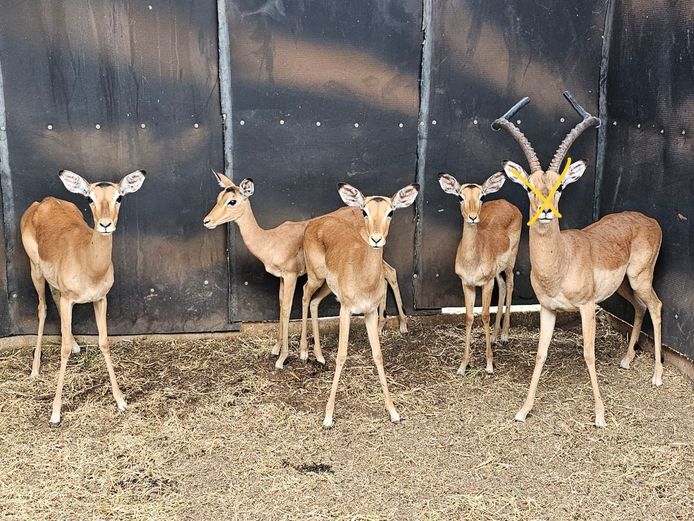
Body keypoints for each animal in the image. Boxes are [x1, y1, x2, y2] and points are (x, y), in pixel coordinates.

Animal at [20, 169, 146, 424]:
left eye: (119, 197)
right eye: (90, 198)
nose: (105, 225)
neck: (88, 262)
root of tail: (44, 202)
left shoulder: (100, 299)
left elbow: (104, 342)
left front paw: (121, 400)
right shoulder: (70, 300)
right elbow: (64, 349)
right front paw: (55, 412)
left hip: (54, 284)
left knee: (54, 300)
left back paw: (77, 345)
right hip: (35, 271)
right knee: (42, 308)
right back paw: (35, 369)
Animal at [203, 172, 409, 369]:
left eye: (232, 201)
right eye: (219, 197)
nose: (207, 221)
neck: (269, 240)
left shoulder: (291, 275)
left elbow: (287, 308)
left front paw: (284, 357)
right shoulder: (281, 278)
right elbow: (280, 304)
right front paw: (277, 347)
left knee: (389, 273)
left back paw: (402, 325)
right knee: (388, 274)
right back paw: (383, 325)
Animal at [301, 182, 419, 428]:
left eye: (391, 212)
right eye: (365, 211)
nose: (376, 239)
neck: (363, 277)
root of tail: (313, 223)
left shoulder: (369, 313)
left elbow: (378, 355)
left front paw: (393, 412)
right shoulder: (345, 310)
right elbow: (341, 355)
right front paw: (328, 416)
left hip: (326, 286)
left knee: (314, 302)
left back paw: (319, 355)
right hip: (316, 277)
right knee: (305, 295)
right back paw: (304, 352)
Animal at [438, 171, 522, 375]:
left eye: (482, 196)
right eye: (460, 196)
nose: (473, 217)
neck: (472, 260)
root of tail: (508, 204)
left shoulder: (486, 283)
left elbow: (484, 316)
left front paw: (490, 365)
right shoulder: (467, 284)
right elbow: (469, 318)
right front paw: (462, 365)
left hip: (510, 262)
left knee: (510, 285)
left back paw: (505, 335)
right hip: (496, 272)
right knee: (503, 287)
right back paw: (495, 336)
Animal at [493, 92, 662, 427]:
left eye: (560, 186)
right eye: (530, 187)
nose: (546, 211)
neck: (560, 264)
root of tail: (650, 220)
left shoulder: (586, 307)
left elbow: (588, 353)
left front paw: (600, 416)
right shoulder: (547, 309)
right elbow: (541, 354)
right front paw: (523, 410)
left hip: (640, 277)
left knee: (657, 306)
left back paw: (657, 376)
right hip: (623, 285)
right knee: (640, 307)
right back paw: (626, 359)